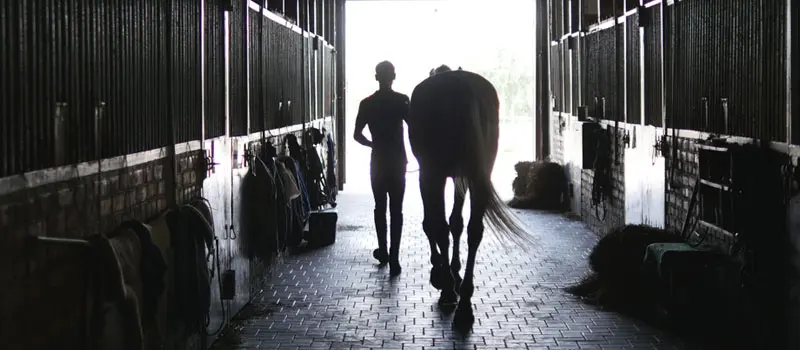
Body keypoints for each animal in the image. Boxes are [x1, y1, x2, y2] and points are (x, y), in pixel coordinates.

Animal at [410, 65, 536, 330]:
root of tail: (459, 85)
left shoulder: (430, 175)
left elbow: (433, 224)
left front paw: (441, 274)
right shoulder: (462, 176)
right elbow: (456, 223)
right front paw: (454, 272)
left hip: (434, 173)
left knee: (440, 227)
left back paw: (449, 292)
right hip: (479, 175)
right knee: (474, 230)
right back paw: (465, 304)